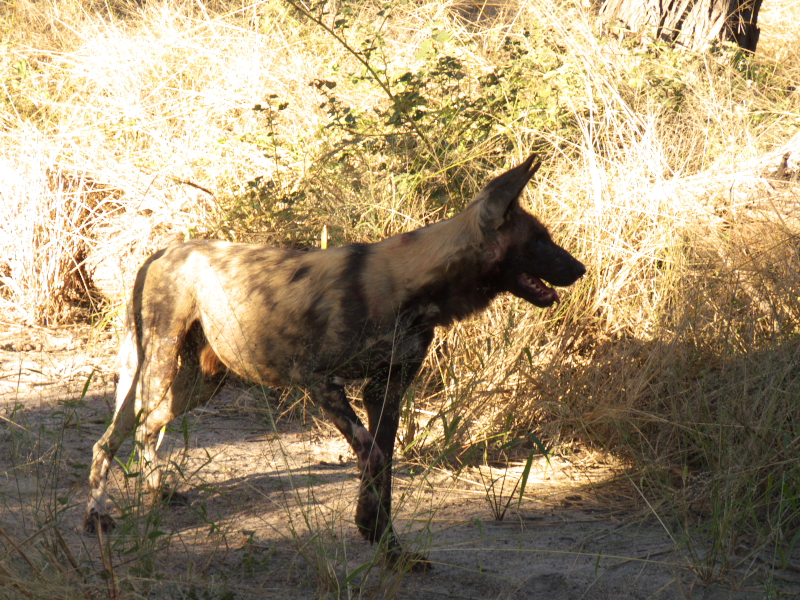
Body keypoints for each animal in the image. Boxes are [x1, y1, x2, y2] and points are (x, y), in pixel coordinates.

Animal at [83, 154, 585, 566]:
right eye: (539, 241)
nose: (580, 268)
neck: (417, 286)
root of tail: (167, 248)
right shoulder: (320, 381)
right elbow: (375, 458)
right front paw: (372, 532)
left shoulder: (386, 389)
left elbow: (383, 469)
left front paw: (389, 549)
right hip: (159, 364)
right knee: (110, 439)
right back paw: (96, 518)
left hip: (202, 382)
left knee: (145, 428)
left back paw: (157, 494)